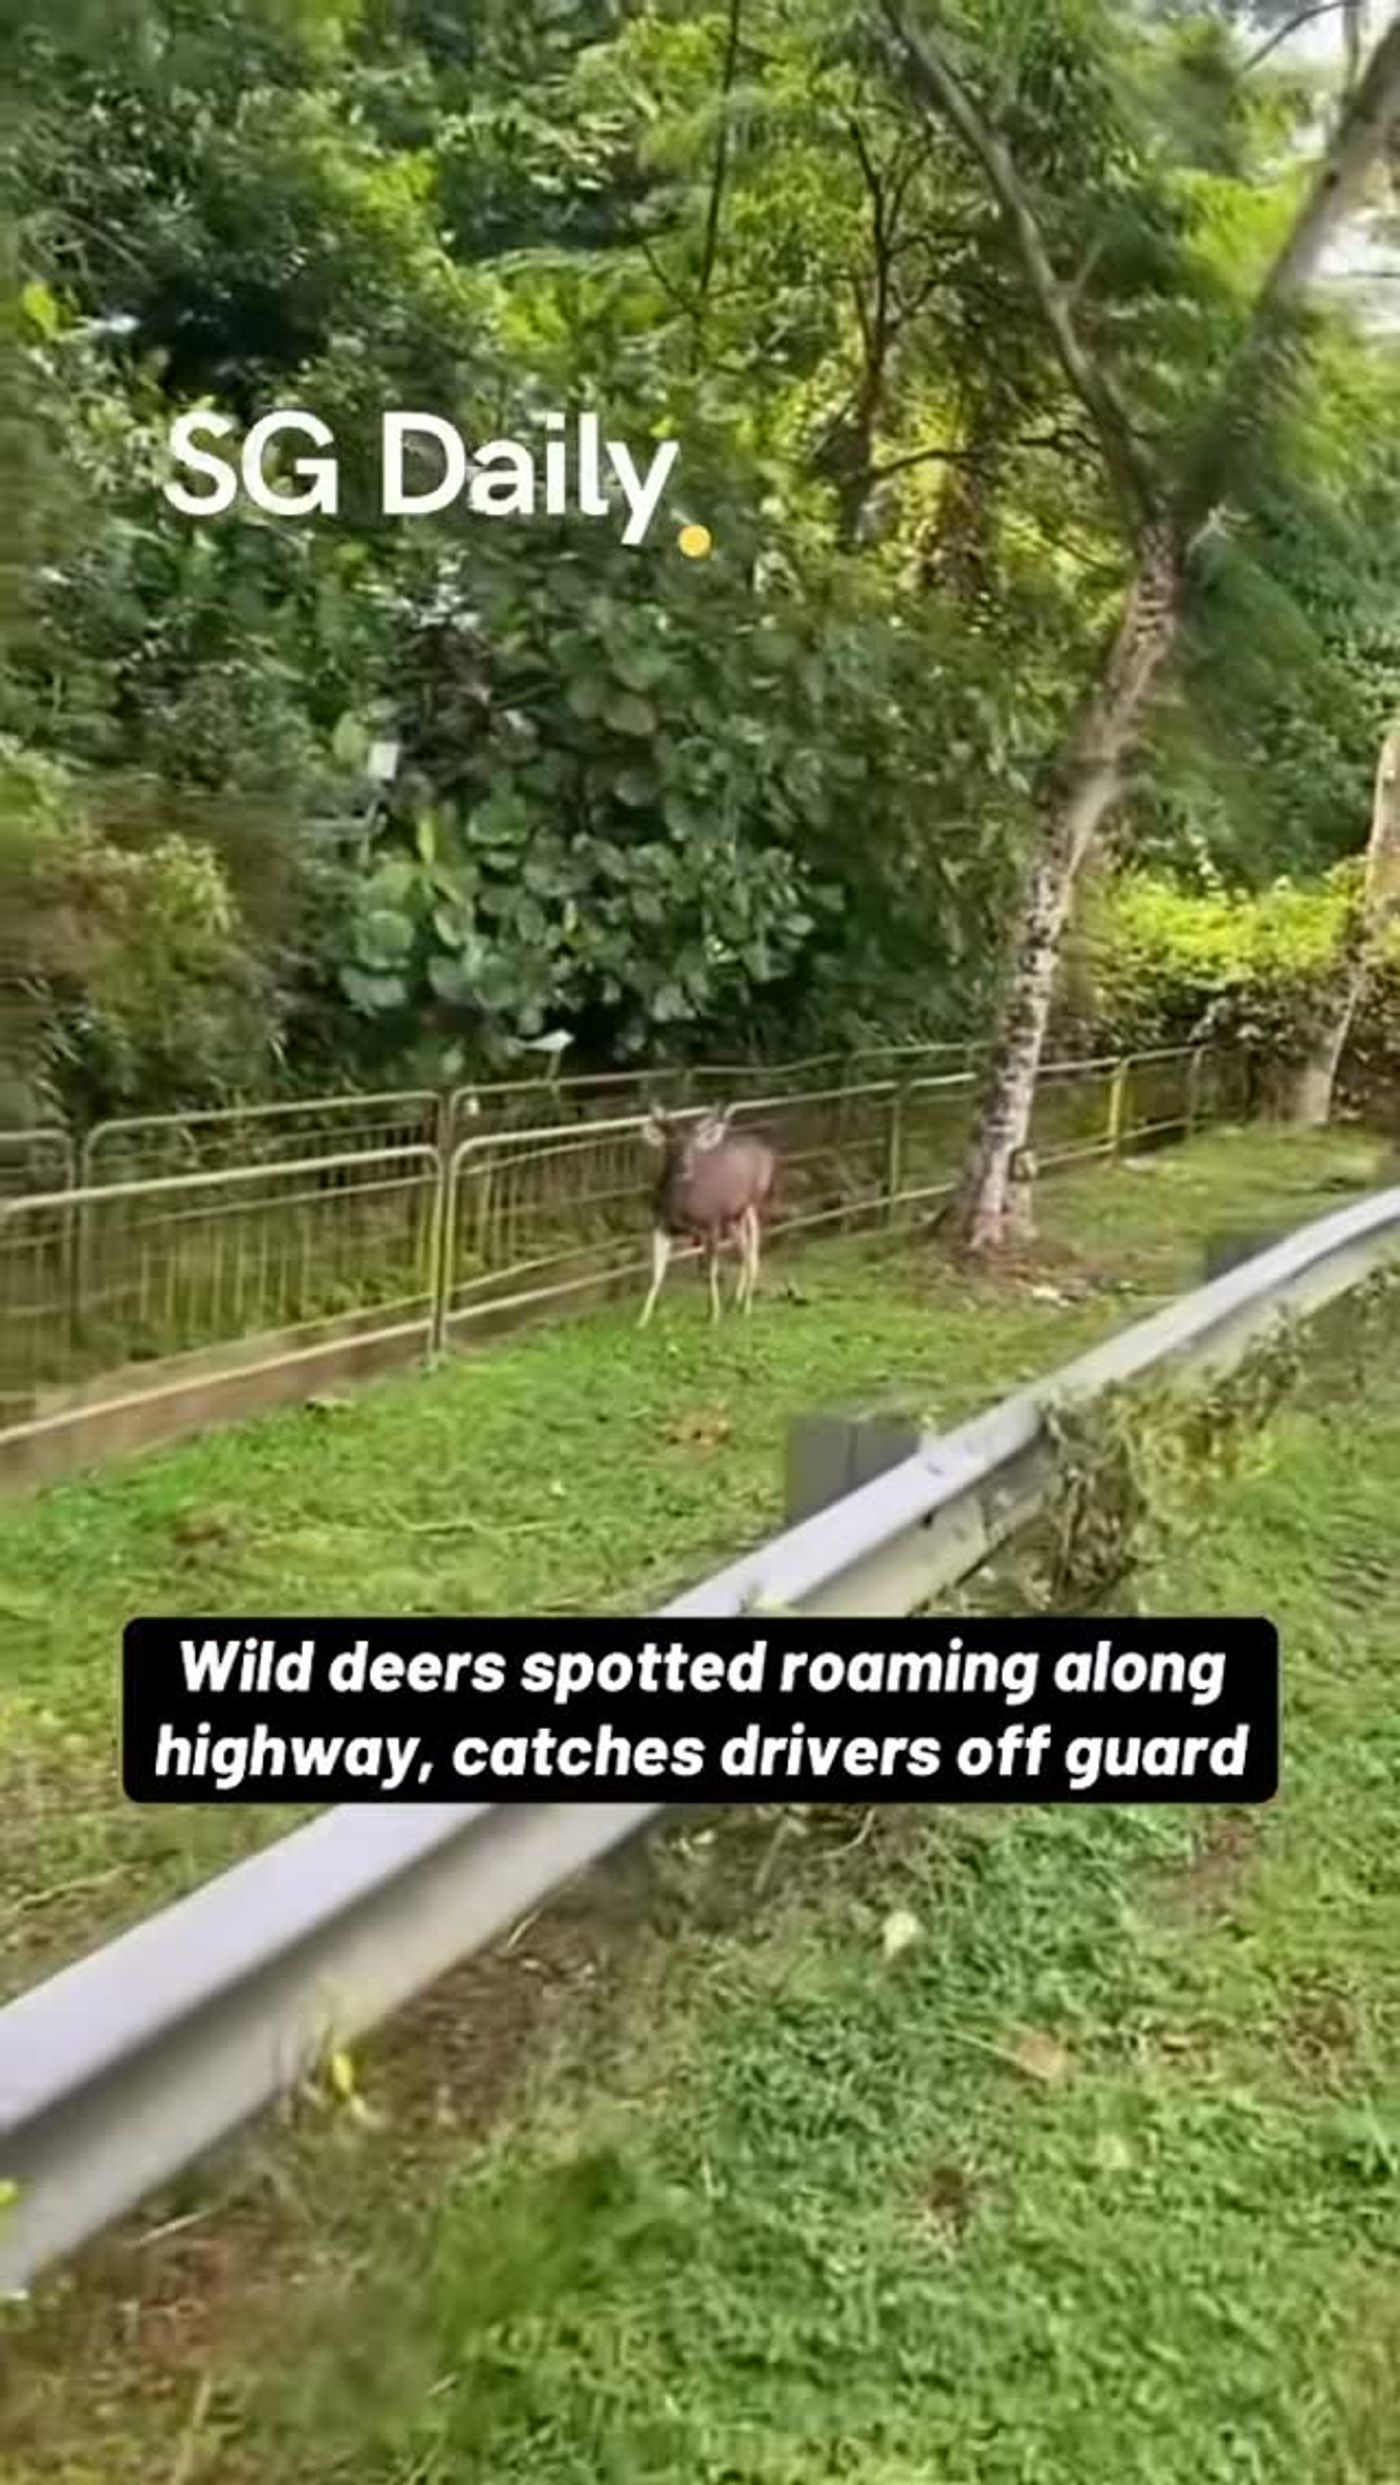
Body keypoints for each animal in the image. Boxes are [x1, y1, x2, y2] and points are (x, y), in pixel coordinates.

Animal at [637, 1104, 778, 1328]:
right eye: (671, 1143)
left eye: (693, 1146)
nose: (685, 1168)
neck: (679, 1206)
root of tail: (767, 1150)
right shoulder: (661, 1226)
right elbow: (657, 1274)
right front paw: (642, 1320)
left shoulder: (711, 1222)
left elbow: (711, 1270)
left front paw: (714, 1315)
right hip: (733, 1217)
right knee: (744, 1251)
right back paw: (736, 1301)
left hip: (754, 1203)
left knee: (753, 1253)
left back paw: (746, 1306)